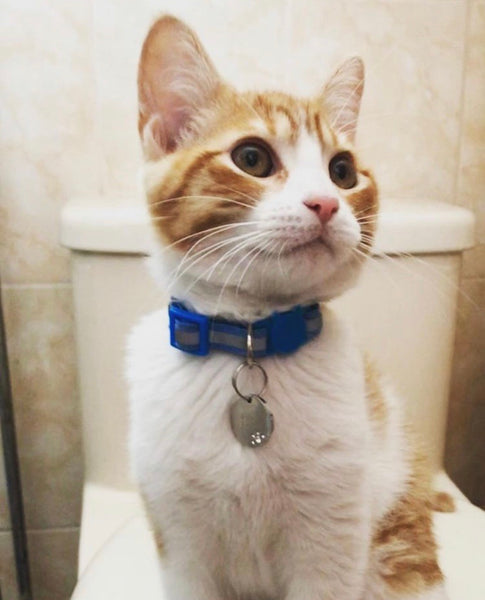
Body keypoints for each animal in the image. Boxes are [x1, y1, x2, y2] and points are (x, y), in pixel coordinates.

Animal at [127, 14, 449, 600]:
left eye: (343, 170)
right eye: (251, 158)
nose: (324, 203)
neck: (252, 338)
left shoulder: (330, 542)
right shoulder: (181, 542)